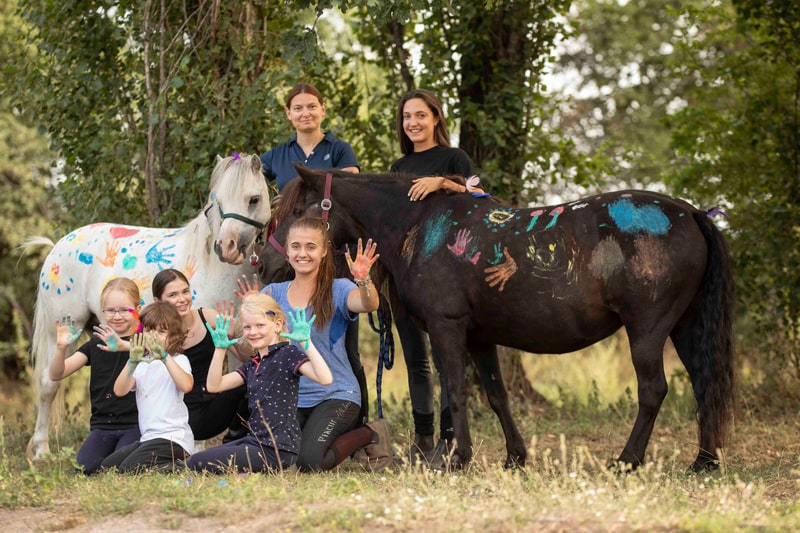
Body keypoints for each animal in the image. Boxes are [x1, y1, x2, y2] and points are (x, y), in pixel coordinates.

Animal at [26, 152, 270, 460]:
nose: (226, 247)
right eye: (219, 203)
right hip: (63, 329)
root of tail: (57, 247)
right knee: (49, 384)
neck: (216, 269)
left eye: (254, 199)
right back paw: (41, 451)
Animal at [260, 165, 736, 470]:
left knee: (654, 390)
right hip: (685, 326)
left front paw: (456, 458)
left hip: (648, 329)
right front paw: (514, 457)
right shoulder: (479, 337)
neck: (420, 225)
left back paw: (628, 460)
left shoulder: (447, 327)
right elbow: (496, 395)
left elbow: (455, 393)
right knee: (703, 384)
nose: (266, 264)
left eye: (296, 212)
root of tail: (691, 213)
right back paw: (703, 461)